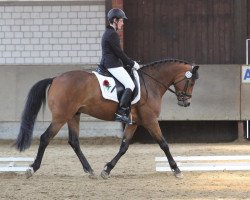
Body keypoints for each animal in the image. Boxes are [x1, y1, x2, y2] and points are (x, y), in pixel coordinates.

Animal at [15, 58, 199, 179]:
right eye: (191, 82)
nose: (186, 102)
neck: (150, 83)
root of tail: (55, 78)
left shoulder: (134, 122)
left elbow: (124, 147)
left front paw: (107, 169)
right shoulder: (150, 120)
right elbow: (164, 144)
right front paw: (176, 169)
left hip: (73, 115)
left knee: (74, 141)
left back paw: (89, 170)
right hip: (61, 117)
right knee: (45, 138)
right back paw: (32, 169)